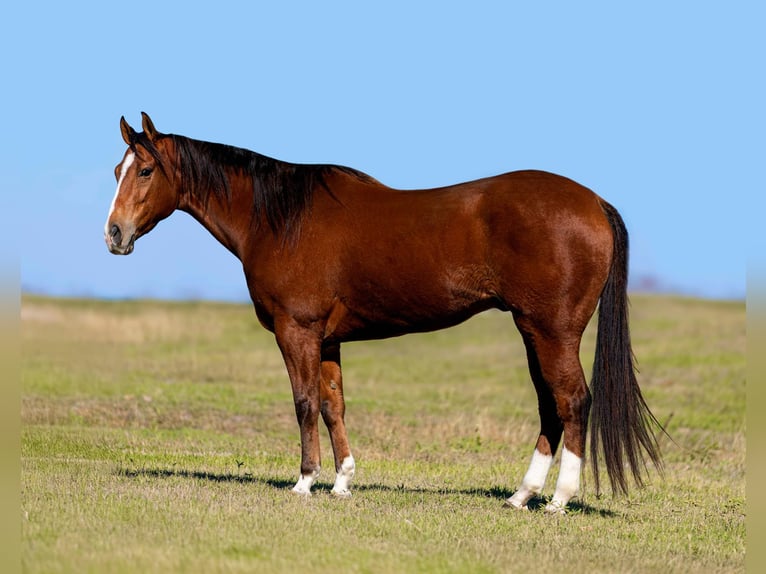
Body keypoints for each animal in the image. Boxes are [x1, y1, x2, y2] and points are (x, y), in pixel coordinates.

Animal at [105, 111, 664, 512]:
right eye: (117, 171)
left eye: (146, 170)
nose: (114, 234)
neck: (280, 219)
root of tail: (594, 202)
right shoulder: (327, 339)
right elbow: (332, 405)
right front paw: (341, 482)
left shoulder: (296, 330)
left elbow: (304, 402)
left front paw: (304, 482)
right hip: (532, 330)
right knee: (551, 405)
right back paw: (521, 494)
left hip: (552, 330)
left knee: (572, 401)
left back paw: (559, 500)